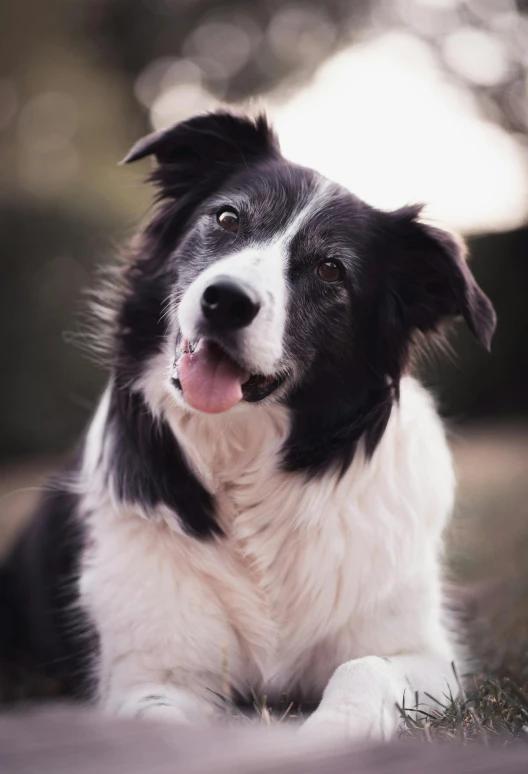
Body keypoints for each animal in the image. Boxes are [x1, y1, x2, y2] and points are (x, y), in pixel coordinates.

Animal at [1, 110, 496, 740]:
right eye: (227, 218)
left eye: (331, 269)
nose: (226, 301)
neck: (242, 456)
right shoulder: (152, 676)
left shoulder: (425, 656)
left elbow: (363, 668)